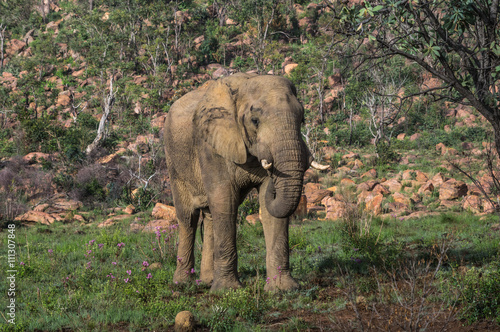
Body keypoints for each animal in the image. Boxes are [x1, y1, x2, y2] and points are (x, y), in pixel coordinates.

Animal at [164, 72, 328, 290]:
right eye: (255, 121)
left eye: (302, 119)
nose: (273, 173)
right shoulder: (210, 146)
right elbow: (224, 200)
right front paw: (227, 291)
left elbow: (270, 212)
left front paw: (282, 289)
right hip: (174, 161)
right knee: (188, 217)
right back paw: (182, 283)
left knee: (209, 216)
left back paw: (207, 281)